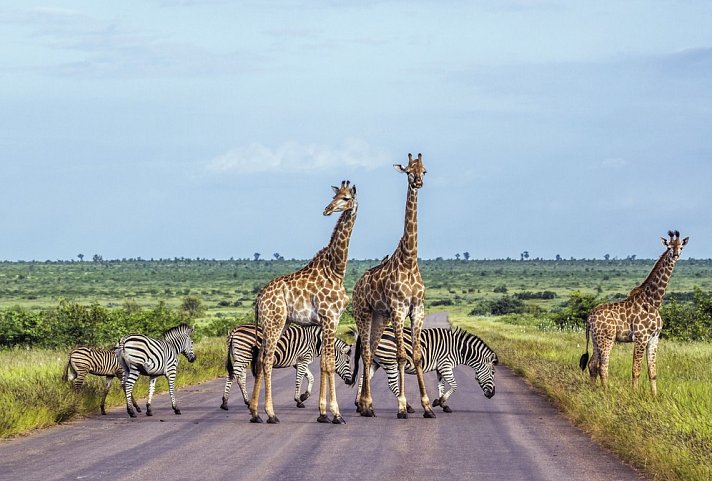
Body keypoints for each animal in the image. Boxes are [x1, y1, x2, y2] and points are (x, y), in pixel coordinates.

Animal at [220, 322, 354, 408]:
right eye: (348, 361)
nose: (350, 381)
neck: (316, 342)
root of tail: (235, 330)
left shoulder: (298, 362)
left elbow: (311, 377)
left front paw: (304, 396)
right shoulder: (303, 359)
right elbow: (299, 380)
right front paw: (298, 400)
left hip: (242, 357)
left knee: (240, 379)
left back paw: (247, 401)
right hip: (243, 356)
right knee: (232, 376)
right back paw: (225, 403)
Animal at [249, 180, 358, 424]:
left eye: (346, 198)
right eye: (335, 196)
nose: (327, 209)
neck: (337, 270)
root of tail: (259, 299)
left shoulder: (327, 322)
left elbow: (324, 363)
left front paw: (323, 413)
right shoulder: (330, 318)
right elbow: (328, 363)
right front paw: (336, 413)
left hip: (275, 324)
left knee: (259, 359)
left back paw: (254, 412)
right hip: (275, 322)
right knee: (266, 360)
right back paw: (271, 414)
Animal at [350, 152, 434, 418]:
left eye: (424, 170)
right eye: (408, 171)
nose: (418, 182)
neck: (409, 260)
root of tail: (356, 286)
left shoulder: (417, 309)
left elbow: (416, 356)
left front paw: (427, 406)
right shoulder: (398, 309)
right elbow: (400, 356)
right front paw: (402, 407)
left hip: (380, 316)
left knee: (371, 351)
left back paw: (366, 404)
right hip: (364, 312)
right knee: (366, 354)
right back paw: (366, 404)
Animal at [352, 326, 498, 412]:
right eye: (493, 372)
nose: (492, 394)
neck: (458, 350)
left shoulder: (440, 368)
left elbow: (441, 386)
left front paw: (443, 404)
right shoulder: (445, 365)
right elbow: (454, 385)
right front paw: (439, 402)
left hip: (375, 362)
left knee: (363, 378)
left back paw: (358, 404)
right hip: (389, 360)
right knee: (392, 384)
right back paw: (408, 406)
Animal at [580, 229, 688, 394]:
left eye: (681, 247)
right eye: (669, 247)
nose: (675, 255)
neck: (653, 301)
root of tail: (589, 317)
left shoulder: (654, 338)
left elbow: (652, 371)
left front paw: (654, 396)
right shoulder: (641, 337)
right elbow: (636, 369)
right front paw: (634, 394)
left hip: (595, 338)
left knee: (592, 364)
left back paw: (593, 390)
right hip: (607, 338)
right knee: (603, 365)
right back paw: (606, 391)